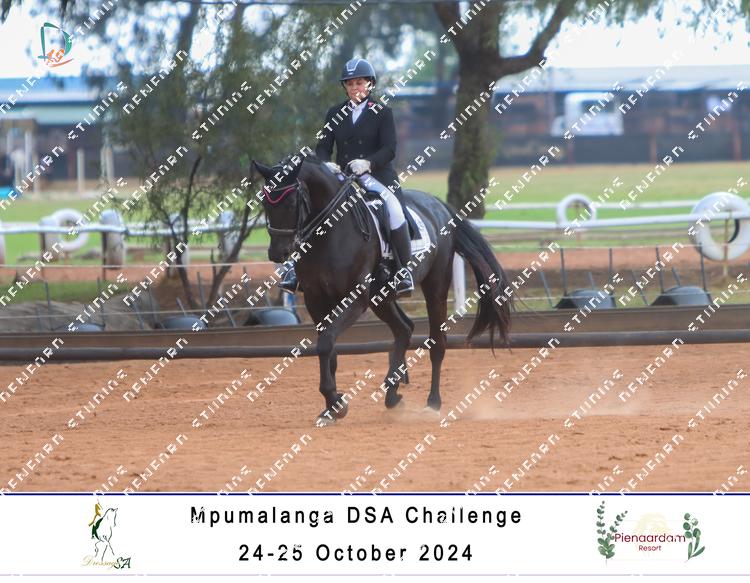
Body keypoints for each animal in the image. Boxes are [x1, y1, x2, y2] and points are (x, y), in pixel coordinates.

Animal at [252, 154, 511, 425]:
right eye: (265, 201)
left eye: (291, 201)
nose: (277, 253)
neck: (330, 232)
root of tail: (437, 204)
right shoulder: (315, 299)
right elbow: (328, 348)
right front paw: (332, 407)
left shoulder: (355, 299)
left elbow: (325, 343)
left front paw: (335, 402)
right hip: (381, 298)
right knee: (404, 329)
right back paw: (392, 395)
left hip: (435, 287)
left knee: (437, 343)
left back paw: (432, 404)